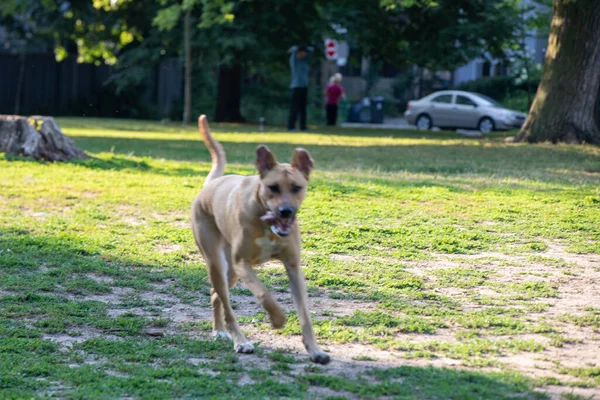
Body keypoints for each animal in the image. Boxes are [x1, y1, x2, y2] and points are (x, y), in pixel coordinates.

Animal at [192, 114, 330, 364]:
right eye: (272, 187)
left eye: (297, 187)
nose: (286, 211)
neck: (267, 223)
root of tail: (210, 185)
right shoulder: (242, 263)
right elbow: (264, 294)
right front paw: (278, 319)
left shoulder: (293, 267)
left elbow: (305, 314)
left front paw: (315, 350)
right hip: (218, 263)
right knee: (226, 304)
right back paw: (240, 341)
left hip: (230, 272)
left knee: (216, 295)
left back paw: (220, 330)